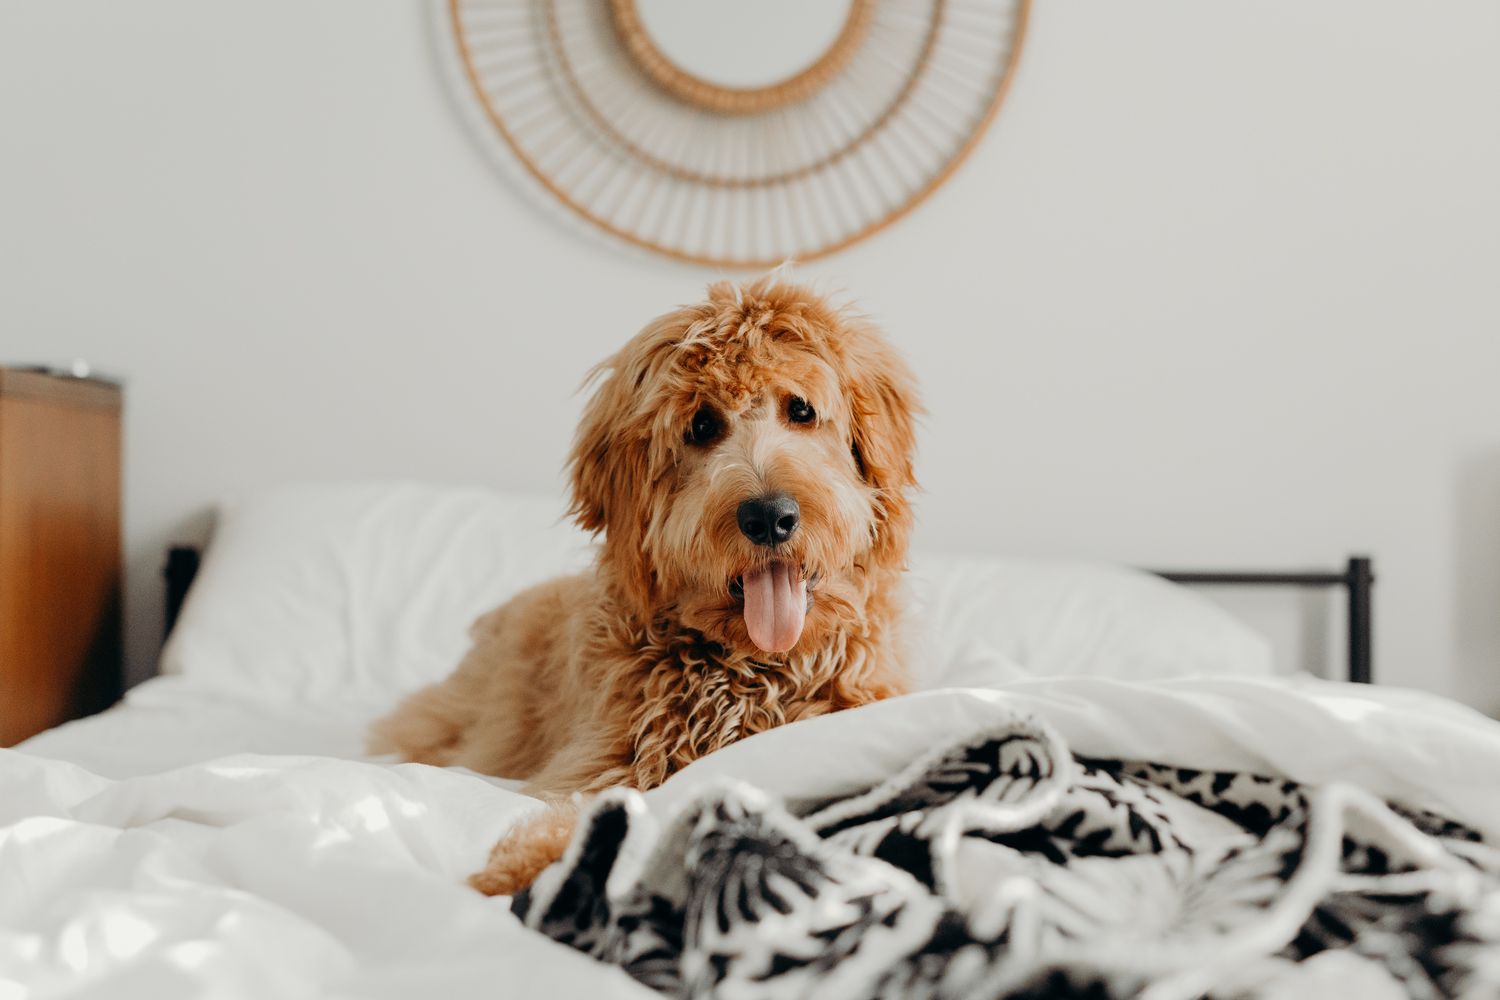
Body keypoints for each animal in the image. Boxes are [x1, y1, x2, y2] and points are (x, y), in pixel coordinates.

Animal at [369, 277, 918, 893]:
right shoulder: (605, 760)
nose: (769, 516)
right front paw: (529, 863)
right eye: (701, 425)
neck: (755, 672)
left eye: (801, 409)